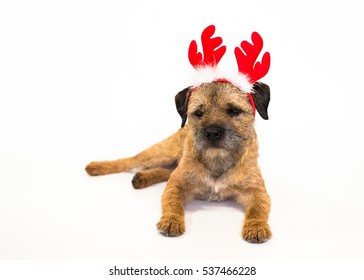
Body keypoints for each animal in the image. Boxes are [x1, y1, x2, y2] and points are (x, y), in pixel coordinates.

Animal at [85, 25, 270, 243]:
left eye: (233, 110)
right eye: (198, 113)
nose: (212, 132)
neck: (217, 159)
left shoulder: (258, 191)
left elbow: (258, 209)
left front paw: (256, 227)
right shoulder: (176, 185)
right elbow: (172, 203)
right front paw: (171, 221)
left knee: (165, 170)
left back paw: (142, 177)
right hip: (161, 152)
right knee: (131, 161)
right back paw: (98, 167)